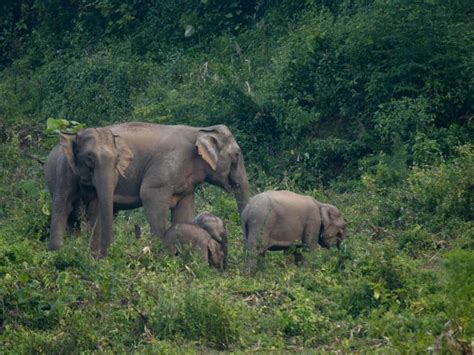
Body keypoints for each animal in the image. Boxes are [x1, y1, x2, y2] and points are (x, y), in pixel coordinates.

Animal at [44, 122, 250, 258]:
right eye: (237, 155)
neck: (200, 129)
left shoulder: (185, 183)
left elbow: (185, 211)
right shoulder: (166, 167)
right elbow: (150, 195)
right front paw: (158, 251)